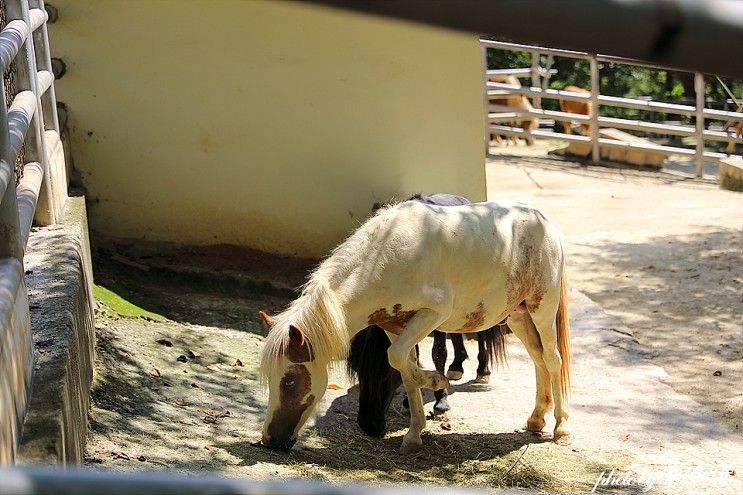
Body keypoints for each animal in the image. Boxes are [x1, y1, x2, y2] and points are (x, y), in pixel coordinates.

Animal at [258, 201, 572, 454]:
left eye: (289, 381)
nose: (270, 440)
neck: (386, 260)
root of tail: (545, 222)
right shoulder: (395, 327)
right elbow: (404, 371)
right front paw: (414, 434)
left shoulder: (432, 315)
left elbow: (397, 358)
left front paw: (436, 381)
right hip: (518, 316)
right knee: (537, 358)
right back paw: (536, 419)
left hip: (542, 309)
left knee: (552, 359)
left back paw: (561, 429)